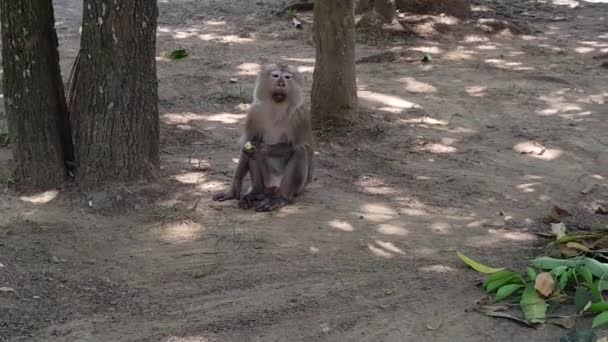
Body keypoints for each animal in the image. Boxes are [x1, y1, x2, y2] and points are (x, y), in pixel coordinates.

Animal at [213, 62, 314, 210]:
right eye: (276, 75)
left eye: (287, 77)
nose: (281, 83)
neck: (277, 107)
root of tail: (272, 189)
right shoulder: (254, 113)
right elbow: (247, 144)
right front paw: (233, 189)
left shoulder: (299, 115)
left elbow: (301, 147)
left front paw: (262, 148)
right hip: (268, 181)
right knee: (253, 152)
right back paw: (256, 192)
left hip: (298, 186)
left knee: (299, 151)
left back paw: (281, 198)